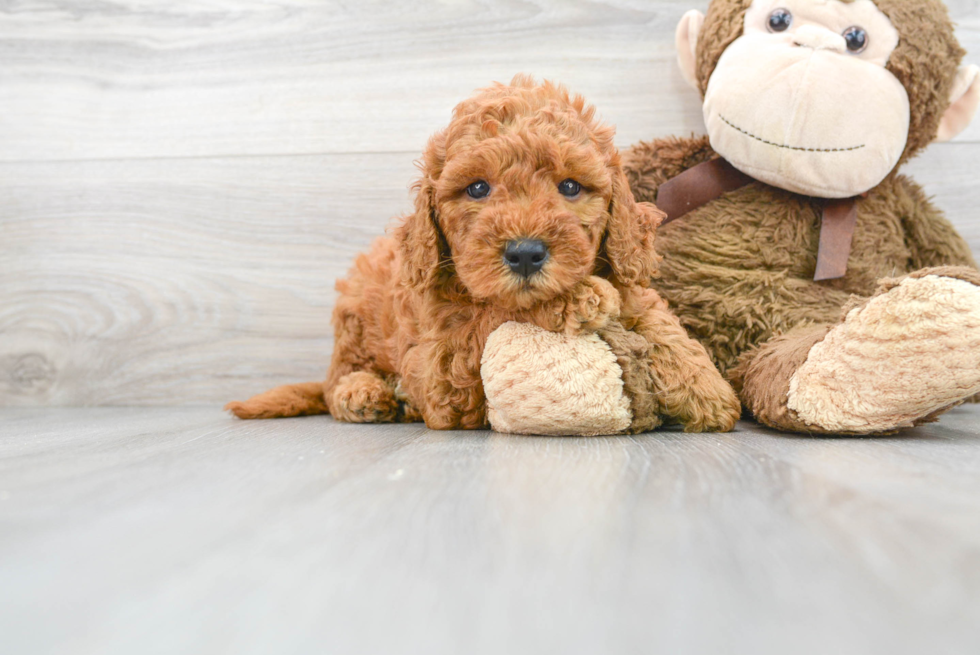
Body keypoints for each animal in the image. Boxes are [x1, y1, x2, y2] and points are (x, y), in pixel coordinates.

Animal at [226, 75, 740, 430]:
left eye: (570, 187)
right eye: (477, 188)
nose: (526, 254)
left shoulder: (624, 271)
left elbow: (651, 313)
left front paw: (706, 388)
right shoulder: (444, 363)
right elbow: (496, 312)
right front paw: (575, 299)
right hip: (353, 317)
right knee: (336, 381)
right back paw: (365, 393)